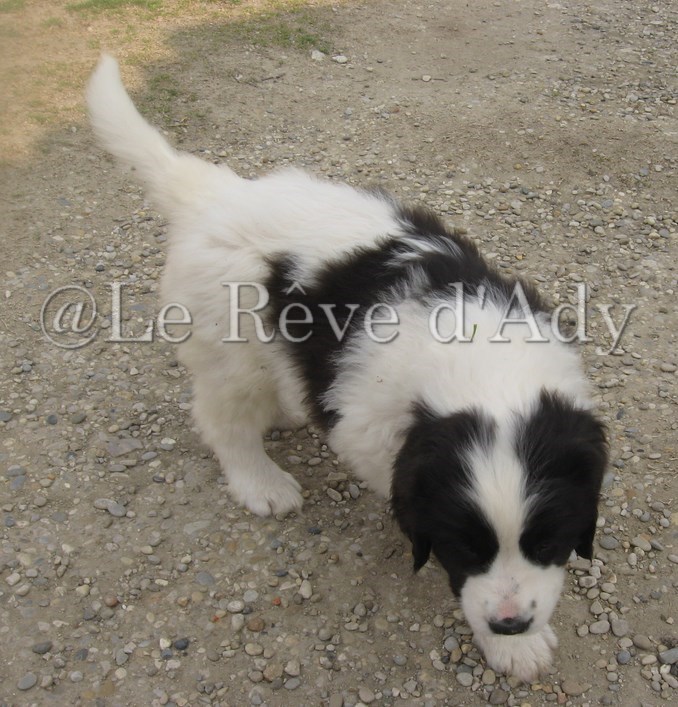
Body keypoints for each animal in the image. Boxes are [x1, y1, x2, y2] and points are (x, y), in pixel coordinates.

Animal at [87, 55, 607, 682]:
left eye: (547, 541)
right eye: (466, 547)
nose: (511, 623)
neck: (485, 361)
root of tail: (214, 195)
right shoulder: (373, 432)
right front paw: (511, 647)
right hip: (230, 353)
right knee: (221, 419)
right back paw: (260, 481)